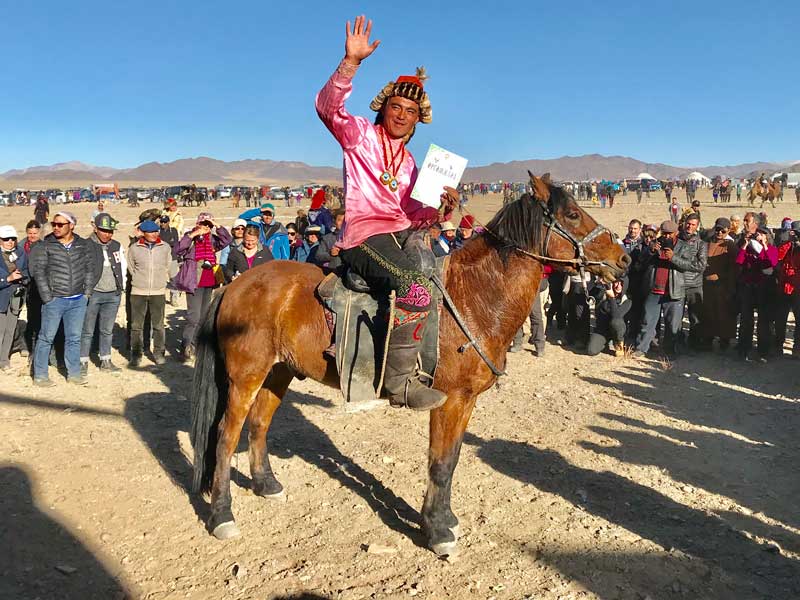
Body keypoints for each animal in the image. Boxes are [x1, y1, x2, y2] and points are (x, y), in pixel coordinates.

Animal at [189, 173, 632, 556]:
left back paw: (267, 485)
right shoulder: (449, 399)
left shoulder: (467, 401)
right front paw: (436, 531)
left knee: (259, 424)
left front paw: (445, 519)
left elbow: (451, 459)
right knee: (226, 436)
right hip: (245, 376)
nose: (624, 258)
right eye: (572, 214)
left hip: (278, 371)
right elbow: (440, 463)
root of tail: (235, 285)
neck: (475, 297)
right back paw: (222, 515)